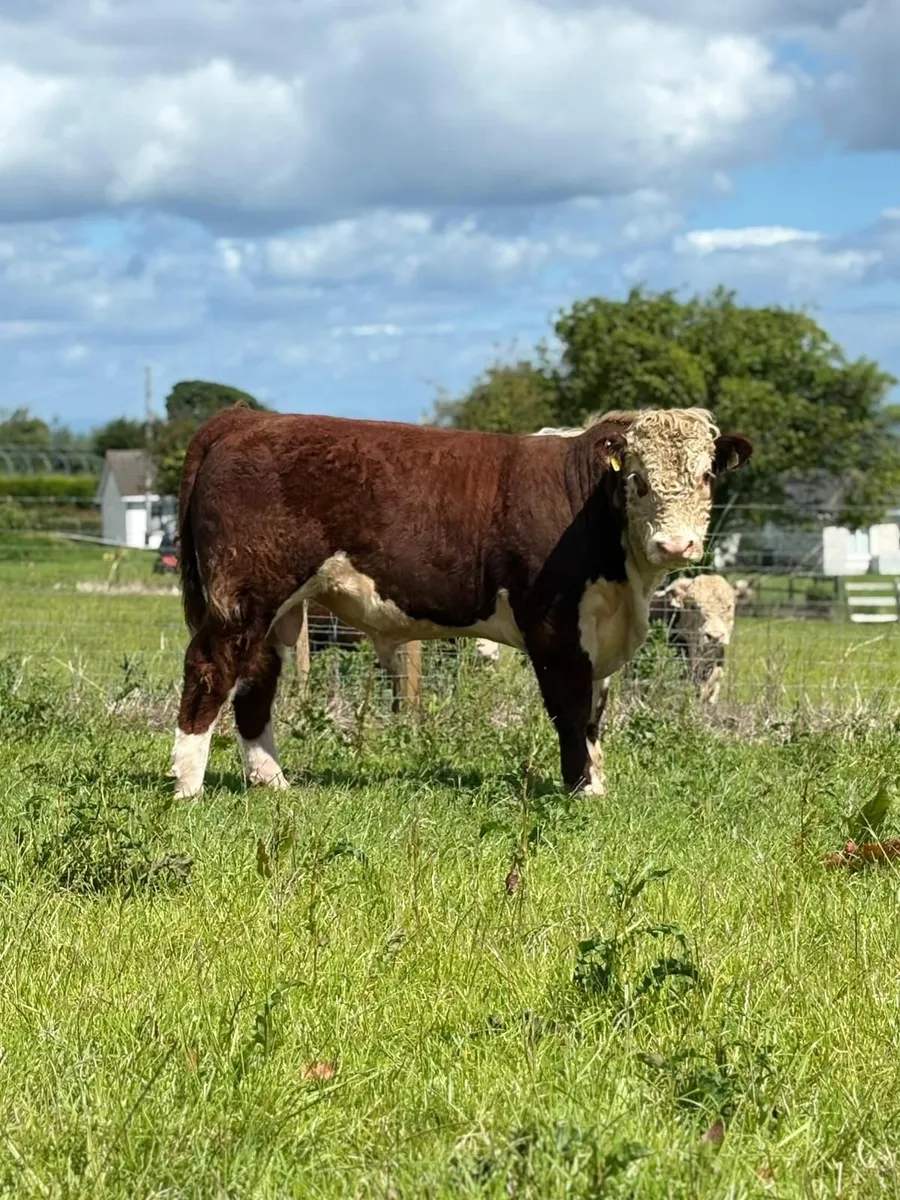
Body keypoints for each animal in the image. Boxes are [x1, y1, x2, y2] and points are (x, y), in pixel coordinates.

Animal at [170, 405, 752, 799]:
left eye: (706, 476)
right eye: (637, 478)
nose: (675, 545)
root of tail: (246, 418)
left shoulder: (600, 630)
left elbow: (594, 711)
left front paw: (597, 783)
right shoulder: (553, 624)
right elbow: (569, 706)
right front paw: (581, 788)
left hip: (276, 609)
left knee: (256, 679)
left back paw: (272, 781)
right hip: (243, 595)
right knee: (211, 668)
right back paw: (188, 785)